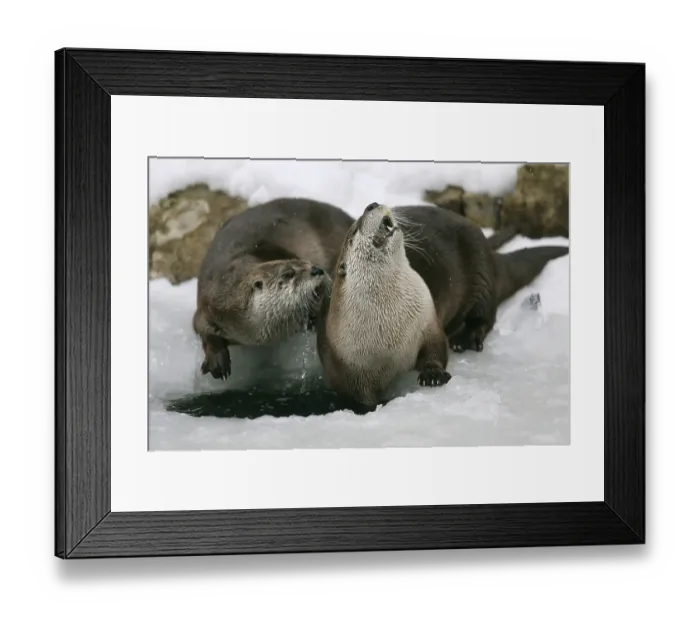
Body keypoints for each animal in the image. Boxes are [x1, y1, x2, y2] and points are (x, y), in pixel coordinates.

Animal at [193, 197, 354, 379]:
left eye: (309, 262)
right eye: (289, 273)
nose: (316, 270)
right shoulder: (208, 304)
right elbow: (201, 328)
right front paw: (217, 360)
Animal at [317, 203, 451, 408]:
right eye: (355, 229)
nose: (371, 204)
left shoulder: (428, 323)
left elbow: (436, 350)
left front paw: (433, 374)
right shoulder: (349, 368)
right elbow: (361, 397)